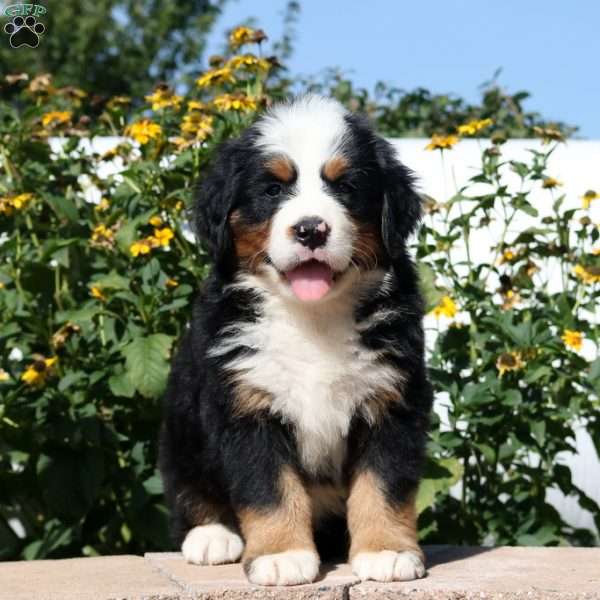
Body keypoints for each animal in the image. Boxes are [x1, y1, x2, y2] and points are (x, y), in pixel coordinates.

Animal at [159, 95, 432, 584]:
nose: (310, 229)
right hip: (181, 427)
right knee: (189, 490)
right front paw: (281, 554)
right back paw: (212, 536)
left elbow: (383, 484)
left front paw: (385, 550)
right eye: (272, 190)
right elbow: (269, 488)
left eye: (346, 187)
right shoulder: (245, 405)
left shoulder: (392, 399)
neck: (313, 317)